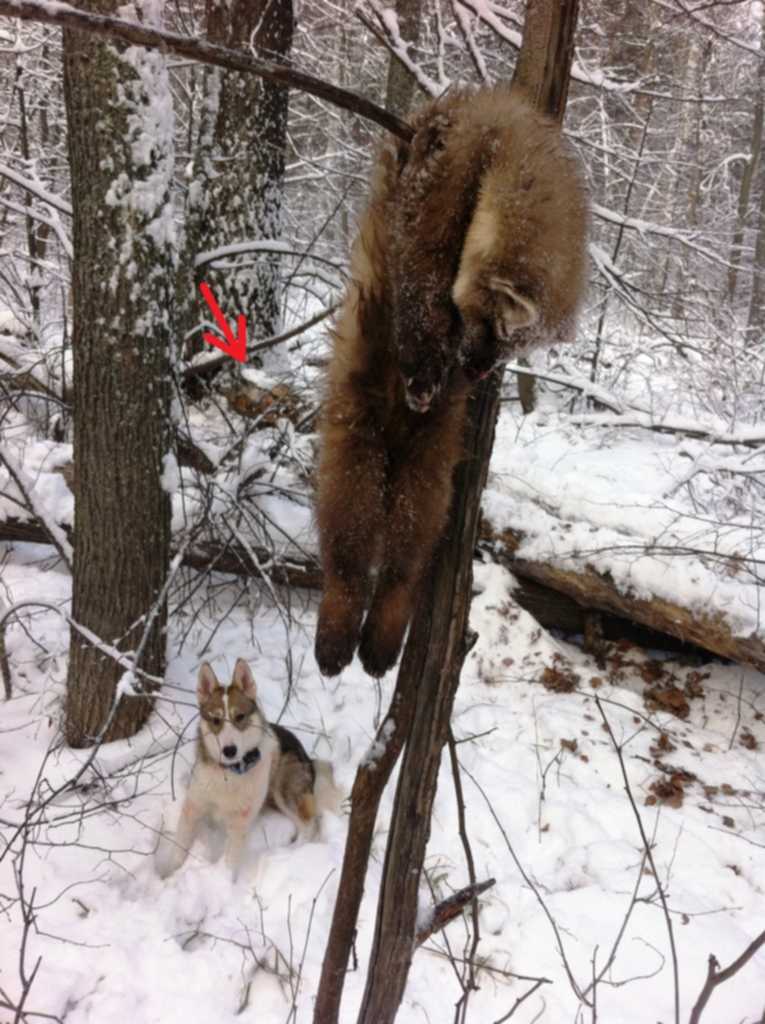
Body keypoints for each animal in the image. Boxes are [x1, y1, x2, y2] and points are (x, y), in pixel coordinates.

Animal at [156, 659, 340, 876]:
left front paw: (224, 880)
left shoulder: (240, 822)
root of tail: (307, 757)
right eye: (216, 720)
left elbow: (230, 861)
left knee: (309, 826)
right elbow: (179, 850)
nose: (229, 750)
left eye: (240, 717)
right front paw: (167, 875)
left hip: (284, 790)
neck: (229, 774)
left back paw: (288, 854)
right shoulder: (193, 808)